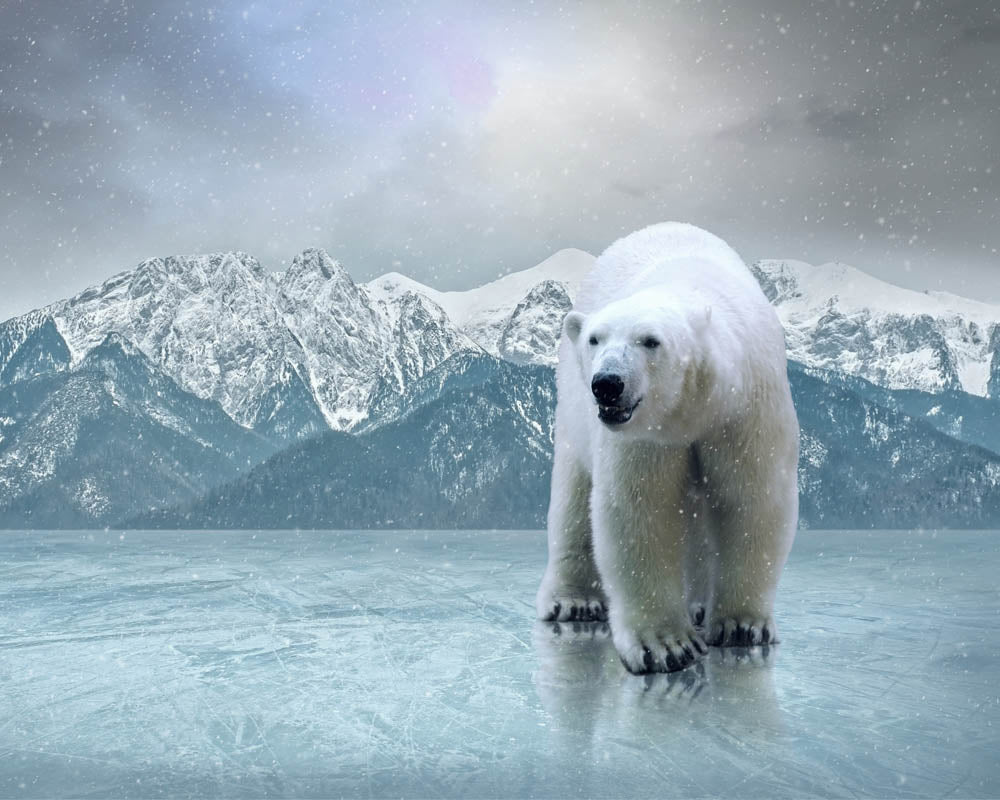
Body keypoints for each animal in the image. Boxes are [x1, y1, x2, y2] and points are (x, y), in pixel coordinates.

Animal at [535, 221, 799, 674]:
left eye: (650, 341)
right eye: (595, 339)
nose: (608, 384)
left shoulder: (746, 409)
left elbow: (752, 498)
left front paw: (742, 626)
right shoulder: (646, 436)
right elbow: (642, 509)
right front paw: (666, 645)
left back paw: (698, 605)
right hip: (572, 412)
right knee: (573, 495)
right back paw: (574, 601)